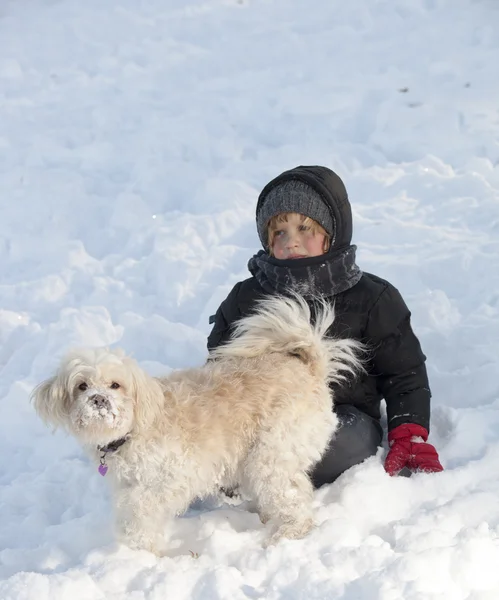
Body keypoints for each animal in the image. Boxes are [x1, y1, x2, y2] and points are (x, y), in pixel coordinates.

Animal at [32, 294, 364, 552]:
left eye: (115, 385)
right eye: (82, 386)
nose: (99, 399)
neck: (134, 430)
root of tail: (310, 368)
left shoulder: (174, 475)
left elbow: (140, 507)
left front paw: (138, 547)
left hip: (272, 454)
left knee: (293, 496)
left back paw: (287, 533)